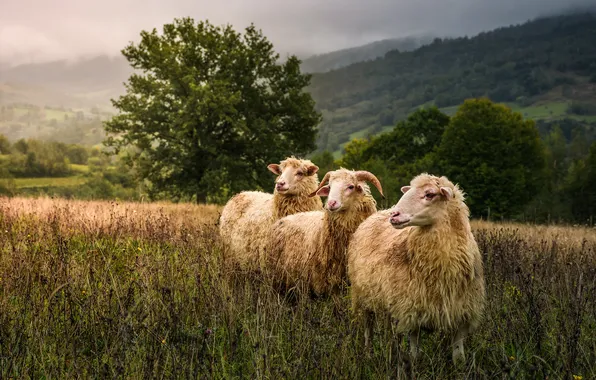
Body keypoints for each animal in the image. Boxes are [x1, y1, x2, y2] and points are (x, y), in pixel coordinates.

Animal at [346, 174, 486, 364]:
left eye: (430, 194)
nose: (394, 215)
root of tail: (379, 213)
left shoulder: (461, 315)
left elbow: (459, 357)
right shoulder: (412, 311)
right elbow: (415, 355)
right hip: (363, 296)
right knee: (368, 328)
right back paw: (368, 354)